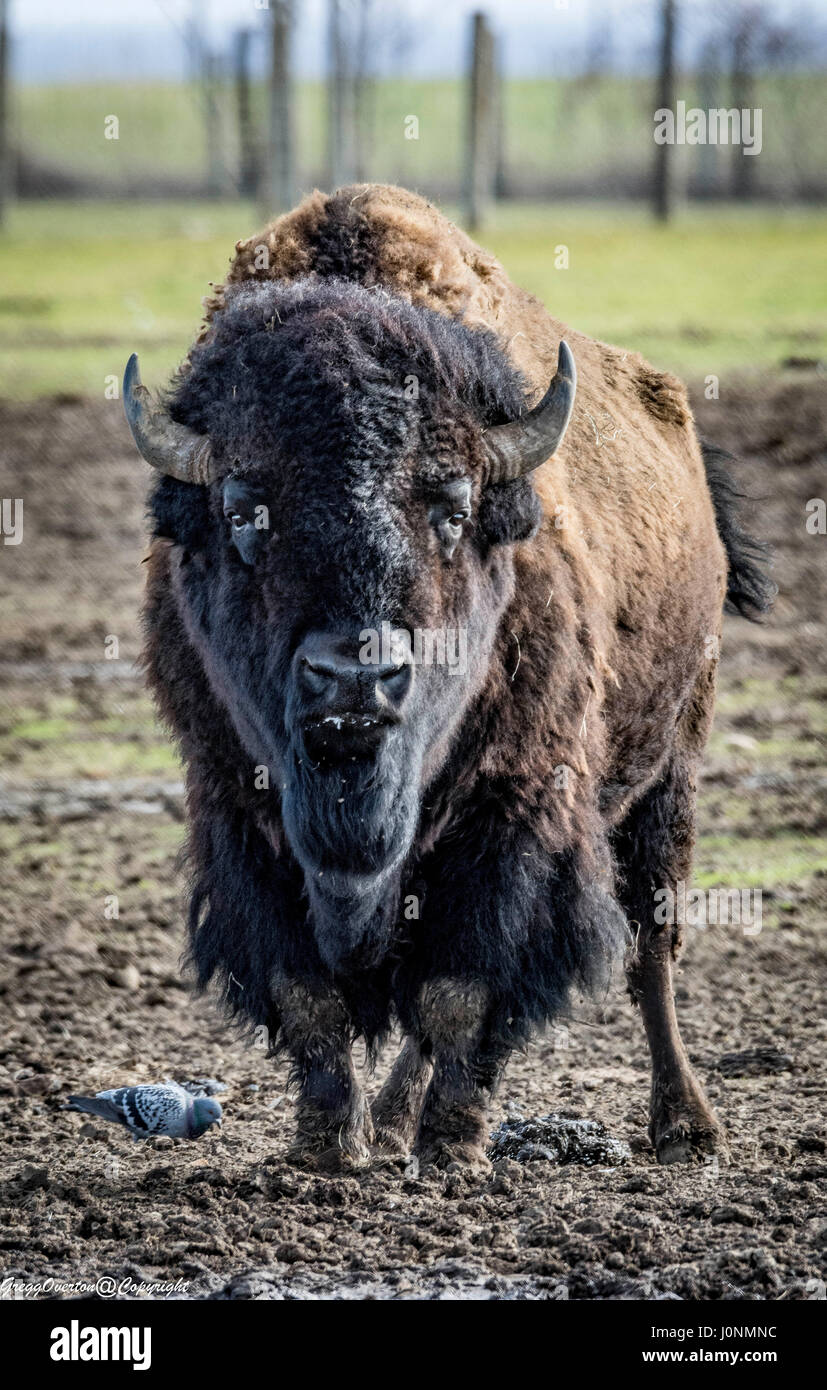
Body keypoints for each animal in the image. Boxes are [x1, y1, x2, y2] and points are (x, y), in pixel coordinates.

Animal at [124, 184, 778, 1173]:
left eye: (452, 506)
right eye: (241, 508)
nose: (353, 676)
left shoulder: (513, 812)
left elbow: (460, 990)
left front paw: (457, 1147)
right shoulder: (237, 808)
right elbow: (309, 991)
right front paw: (327, 1146)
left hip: (670, 772)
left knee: (650, 947)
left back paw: (684, 1125)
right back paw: (394, 1122)